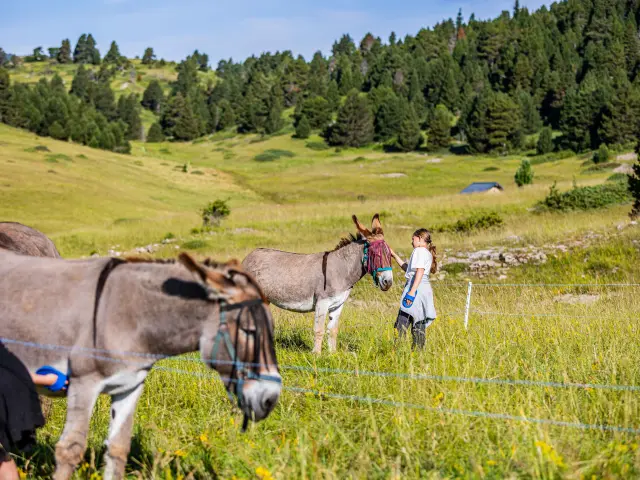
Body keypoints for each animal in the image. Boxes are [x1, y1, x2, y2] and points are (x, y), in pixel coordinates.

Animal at [0, 250, 281, 480]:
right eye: (249, 331)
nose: (270, 400)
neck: (130, 316)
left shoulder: (129, 386)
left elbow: (118, 448)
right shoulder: (84, 383)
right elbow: (70, 449)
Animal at [242, 214, 394, 354]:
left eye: (390, 254)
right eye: (375, 254)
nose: (388, 282)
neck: (342, 270)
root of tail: (248, 257)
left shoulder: (338, 305)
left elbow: (333, 330)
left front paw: (333, 354)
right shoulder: (322, 302)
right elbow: (319, 329)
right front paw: (317, 355)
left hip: (264, 299)